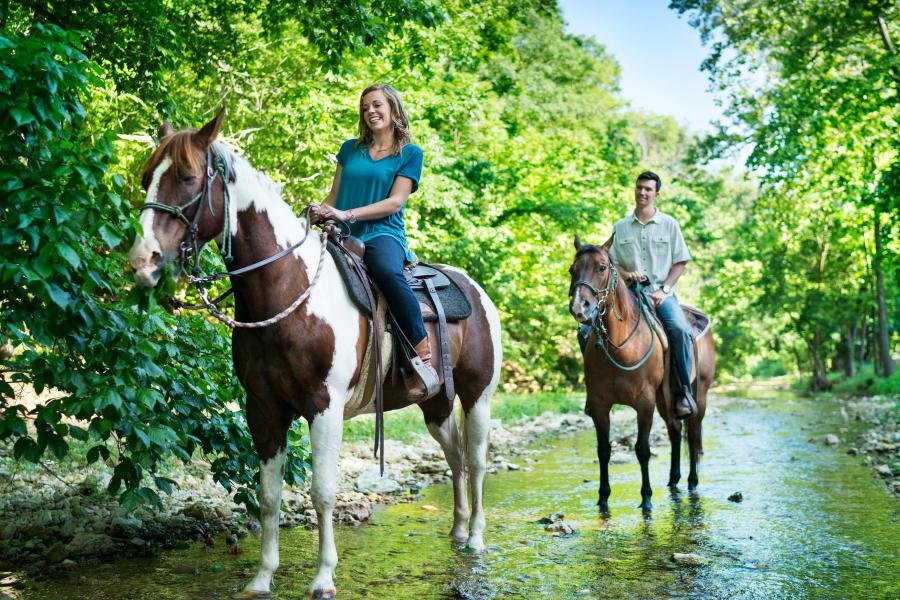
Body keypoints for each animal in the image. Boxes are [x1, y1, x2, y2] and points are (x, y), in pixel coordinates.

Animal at [125, 110, 500, 596]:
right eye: (146, 177)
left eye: (187, 178)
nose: (143, 261)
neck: (289, 291)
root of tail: (475, 290)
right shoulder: (263, 408)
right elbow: (268, 496)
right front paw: (261, 578)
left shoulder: (324, 407)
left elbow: (322, 491)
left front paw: (323, 578)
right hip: (434, 403)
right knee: (454, 456)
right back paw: (456, 531)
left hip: (478, 397)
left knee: (475, 461)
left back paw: (474, 537)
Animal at [568, 234, 716, 510]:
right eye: (572, 270)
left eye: (602, 267)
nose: (579, 307)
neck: (620, 345)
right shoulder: (600, 404)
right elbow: (603, 450)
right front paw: (603, 497)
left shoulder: (644, 401)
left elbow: (642, 449)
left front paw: (646, 498)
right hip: (666, 398)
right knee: (675, 431)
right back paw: (673, 480)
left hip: (699, 395)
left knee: (692, 433)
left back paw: (692, 481)